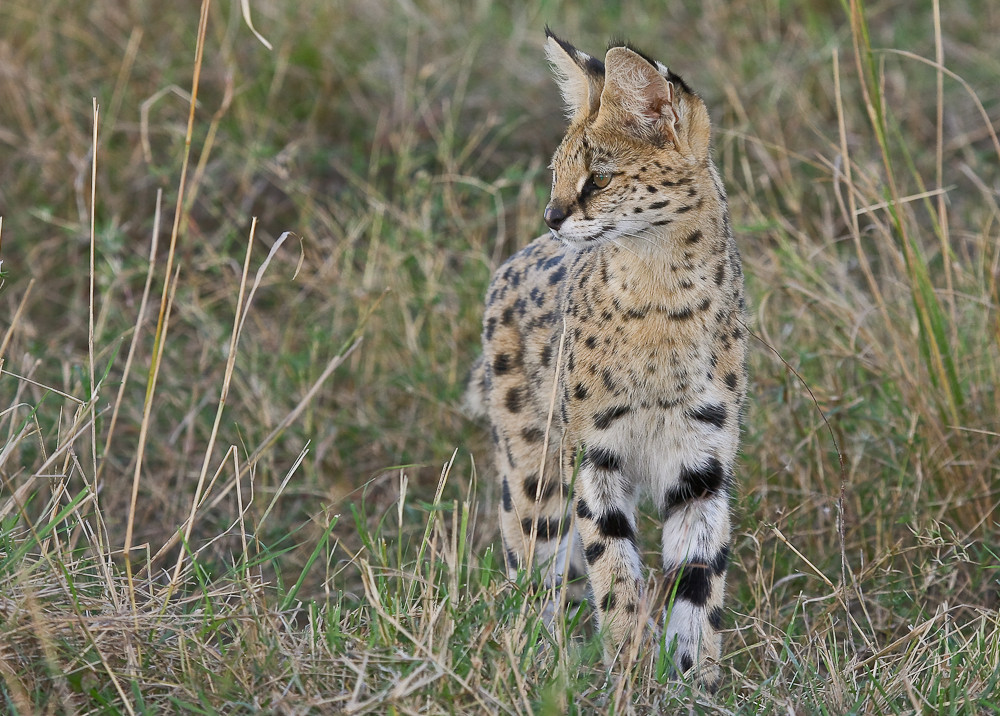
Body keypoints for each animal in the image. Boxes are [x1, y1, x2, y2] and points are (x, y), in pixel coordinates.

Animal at [466, 29, 744, 688]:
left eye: (597, 178)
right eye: (557, 172)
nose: (552, 215)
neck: (662, 293)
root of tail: (514, 259)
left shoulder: (702, 461)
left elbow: (699, 579)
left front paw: (694, 681)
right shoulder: (596, 454)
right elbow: (613, 570)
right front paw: (630, 669)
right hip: (533, 469)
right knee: (529, 572)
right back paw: (537, 664)